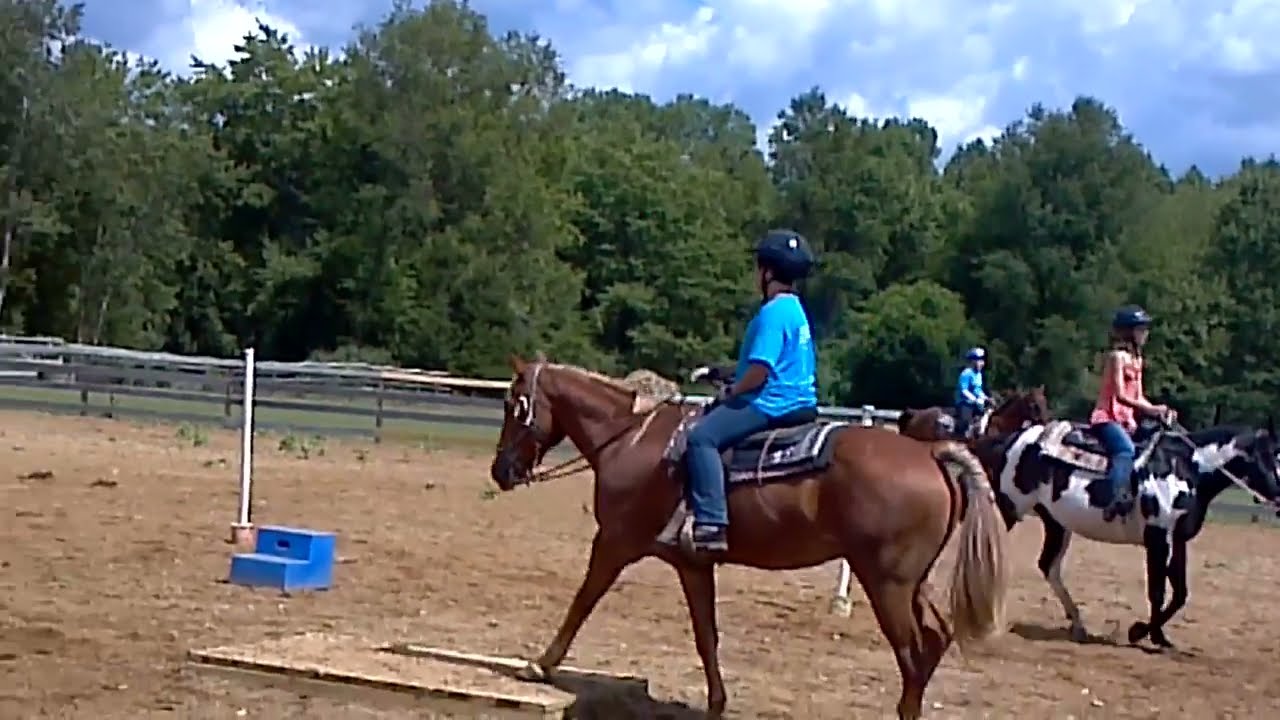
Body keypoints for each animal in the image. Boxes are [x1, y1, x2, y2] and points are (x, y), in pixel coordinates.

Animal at [489, 355, 1009, 719]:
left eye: (515, 406)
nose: (500, 470)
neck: (632, 440)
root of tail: (931, 455)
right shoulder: (693, 563)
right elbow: (707, 636)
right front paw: (717, 704)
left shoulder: (615, 543)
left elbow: (582, 602)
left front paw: (541, 664)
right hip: (912, 581)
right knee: (935, 639)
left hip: (887, 584)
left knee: (912, 654)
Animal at [975, 413, 1280, 649]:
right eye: (1269, 457)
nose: (1279, 498)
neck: (1185, 467)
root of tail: (1013, 439)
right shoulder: (1157, 537)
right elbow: (1157, 590)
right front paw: (1144, 633)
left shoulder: (1178, 539)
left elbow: (1180, 592)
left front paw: (1156, 635)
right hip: (1009, 507)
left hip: (1056, 522)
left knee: (1048, 566)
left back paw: (1078, 624)